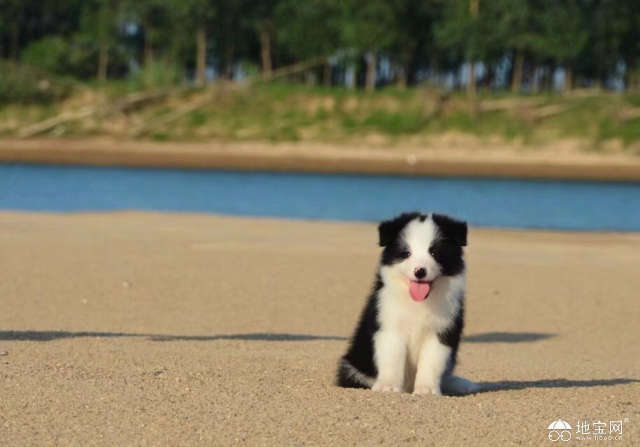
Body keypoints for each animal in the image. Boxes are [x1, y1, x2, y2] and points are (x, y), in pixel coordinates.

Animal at [338, 213, 478, 396]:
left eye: (434, 252)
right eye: (406, 253)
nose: (420, 271)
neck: (419, 302)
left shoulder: (441, 330)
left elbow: (432, 362)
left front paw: (426, 390)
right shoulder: (389, 326)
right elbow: (392, 358)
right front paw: (388, 386)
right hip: (351, 366)